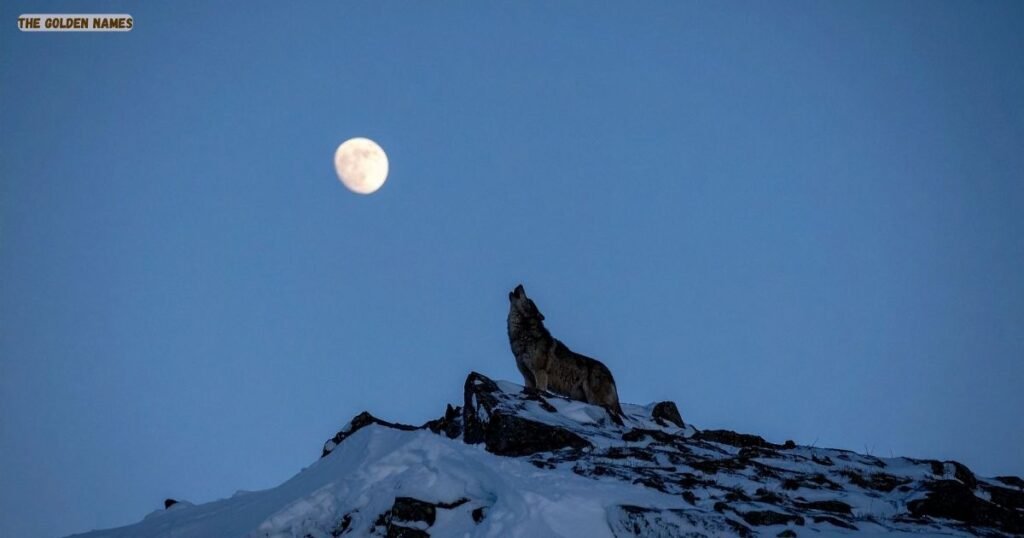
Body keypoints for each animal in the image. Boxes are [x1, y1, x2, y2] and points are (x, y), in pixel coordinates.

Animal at [507, 284, 625, 425]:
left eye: (529, 300)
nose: (520, 285)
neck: (524, 336)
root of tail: (610, 374)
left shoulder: (540, 372)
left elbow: (540, 390)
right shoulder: (527, 377)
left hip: (594, 399)